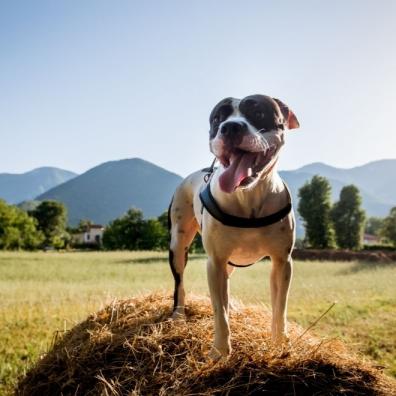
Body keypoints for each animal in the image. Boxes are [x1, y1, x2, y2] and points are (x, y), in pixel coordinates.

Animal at [168, 93, 300, 358]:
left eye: (258, 113)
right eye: (217, 118)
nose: (230, 127)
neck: (248, 196)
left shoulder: (282, 262)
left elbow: (279, 308)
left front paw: (280, 343)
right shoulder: (215, 262)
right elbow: (219, 312)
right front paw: (220, 351)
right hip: (178, 246)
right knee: (180, 284)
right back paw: (178, 315)